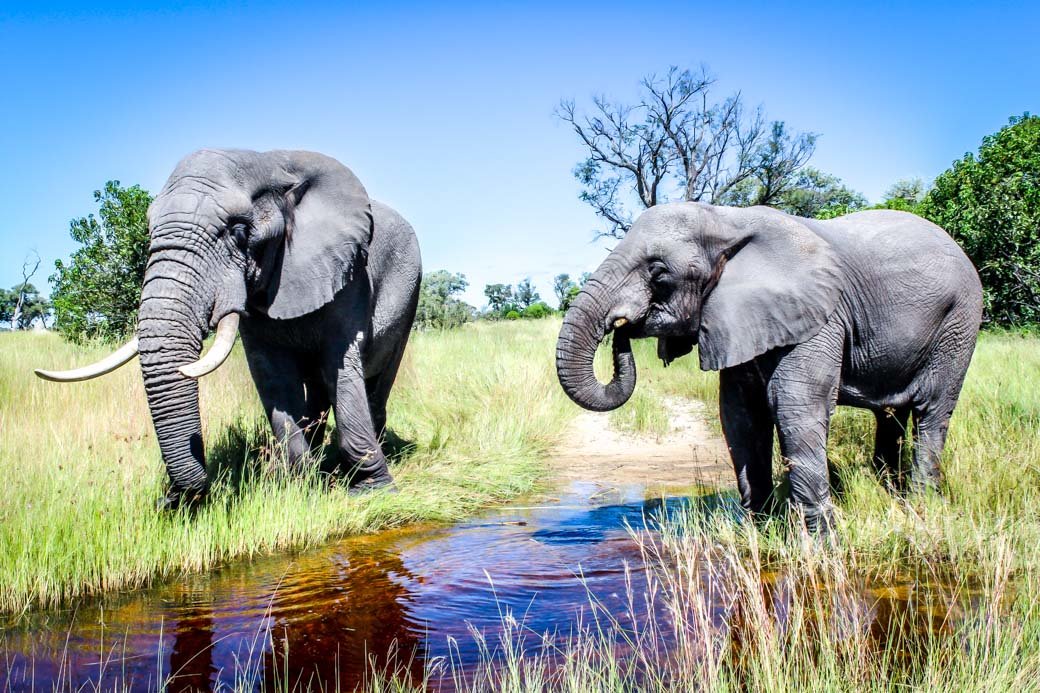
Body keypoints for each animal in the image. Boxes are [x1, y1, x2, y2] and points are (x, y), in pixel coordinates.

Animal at [36, 148, 420, 505]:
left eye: (237, 231)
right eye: (150, 230)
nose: (169, 500)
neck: (272, 163)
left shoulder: (350, 274)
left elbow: (340, 368)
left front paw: (372, 493)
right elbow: (273, 376)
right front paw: (296, 488)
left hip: (408, 292)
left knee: (375, 381)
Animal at [553, 202, 981, 530]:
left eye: (658, 272)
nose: (620, 327)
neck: (728, 220)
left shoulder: (820, 315)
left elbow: (795, 406)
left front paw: (819, 543)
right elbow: (741, 414)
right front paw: (759, 529)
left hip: (960, 321)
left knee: (932, 412)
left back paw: (920, 505)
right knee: (890, 415)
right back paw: (886, 491)